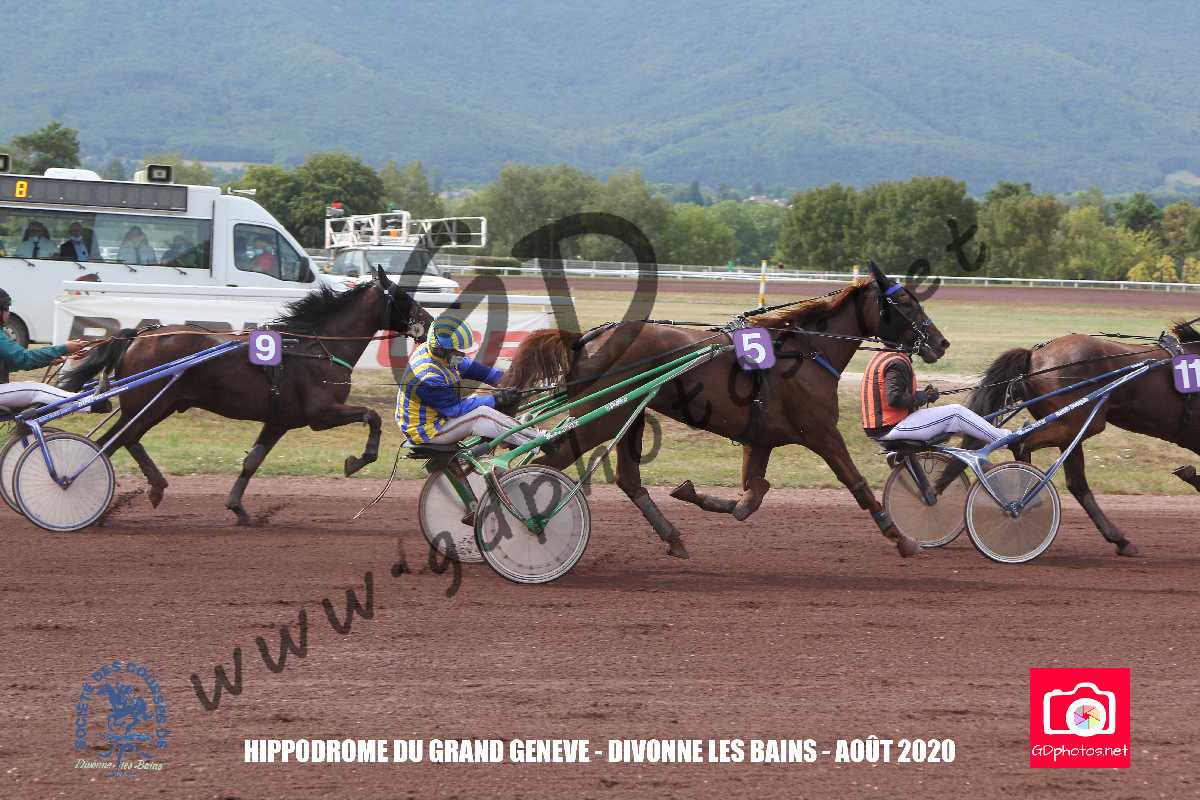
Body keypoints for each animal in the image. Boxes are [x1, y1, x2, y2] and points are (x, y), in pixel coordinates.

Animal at [57, 267, 432, 524]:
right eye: (403, 296)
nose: (429, 321)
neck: (316, 348)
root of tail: (139, 335)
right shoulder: (321, 413)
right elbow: (372, 415)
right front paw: (357, 460)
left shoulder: (279, 420)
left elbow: (253, 460)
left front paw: (237, 507)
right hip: (150, 404)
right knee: (109, 443)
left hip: (160, 404)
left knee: (127, 439)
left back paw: (156, 486)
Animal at [499, 263, 950, 559]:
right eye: (906, 302)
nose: (942, 342)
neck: (806, 352)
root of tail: (587, 338)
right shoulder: (822, 433)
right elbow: (855, 483)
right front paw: (901, 538)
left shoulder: (760, 439)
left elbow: (752, 495)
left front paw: (693, 493)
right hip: (603, 417)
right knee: (546, 462)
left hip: (632, 415)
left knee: (627, 479)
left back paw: (673, 538)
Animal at [963, 321, 1200, 557]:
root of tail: (1034, 355)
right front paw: (1189, 474)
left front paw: (1188, 473)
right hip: (1082, 423)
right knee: (1022, 443)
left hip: (1069, 429)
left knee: (1074, 482)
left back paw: (1119, 540)